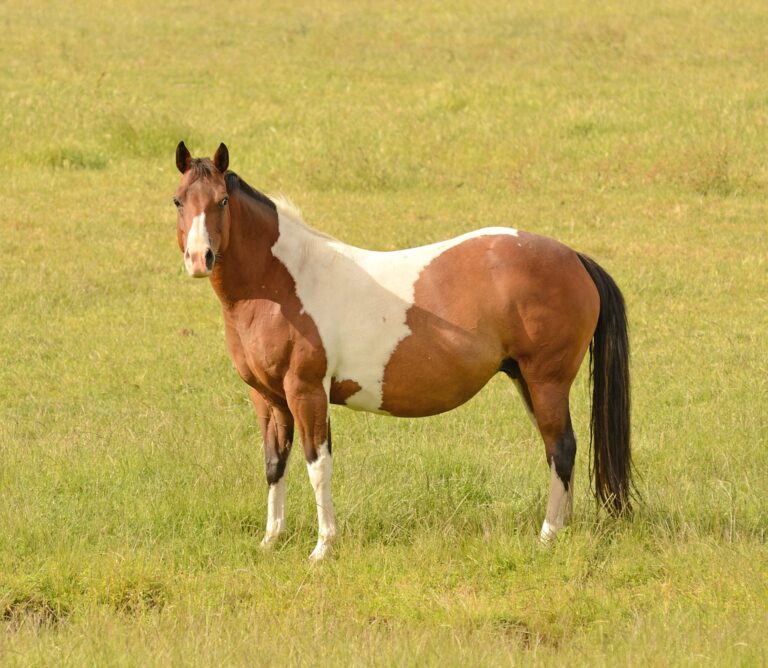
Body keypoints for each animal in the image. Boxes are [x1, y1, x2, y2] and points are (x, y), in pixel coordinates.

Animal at [172, 141, 633, 561]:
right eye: (178, 200)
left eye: (223, 200)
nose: (199, 258)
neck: (284, 281)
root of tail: (573, 257)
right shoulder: (268, 398)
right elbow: (274, 463)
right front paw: (271, 540)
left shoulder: (307, 392)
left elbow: (317, 464)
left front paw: (322, 547)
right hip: (526, 380)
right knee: (556, 449)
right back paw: (561, 528)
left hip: (546, 381)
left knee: (562, 447)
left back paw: (548, 535)